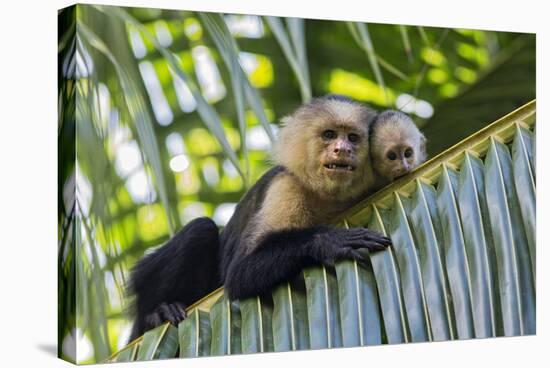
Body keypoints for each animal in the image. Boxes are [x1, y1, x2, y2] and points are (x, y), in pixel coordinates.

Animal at [128, 95, 392, 340]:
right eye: (329, 134)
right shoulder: (285, 187)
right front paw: (330, 241)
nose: (342, 149)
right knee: (200, 230)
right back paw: (156, 314)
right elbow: (239, 274)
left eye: (353, 138)